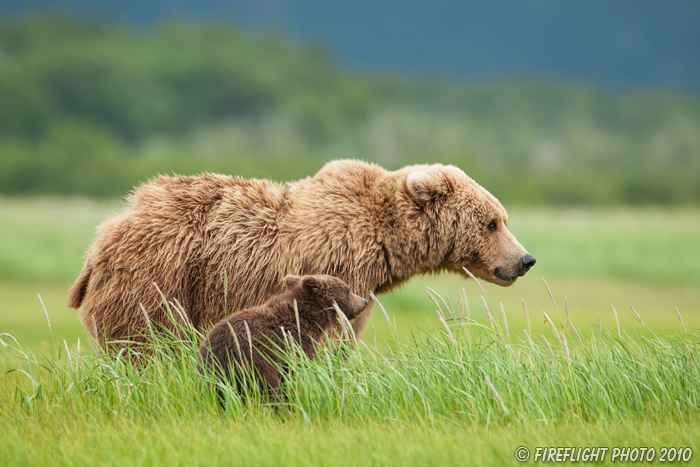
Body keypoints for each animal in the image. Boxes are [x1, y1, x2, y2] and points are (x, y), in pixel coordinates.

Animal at [67, 159, 536, 346]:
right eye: (492, 223)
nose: (525, 260)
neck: (385, 241)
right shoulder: (340, 266)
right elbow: (334, 331)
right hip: (159, 277)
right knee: (145, 343)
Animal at [198, 274, 366, 402]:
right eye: (347, 290)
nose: (364, 301)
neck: (306, 319)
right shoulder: (294, 343)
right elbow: (297, 369)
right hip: (254, 360)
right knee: (268, 388)